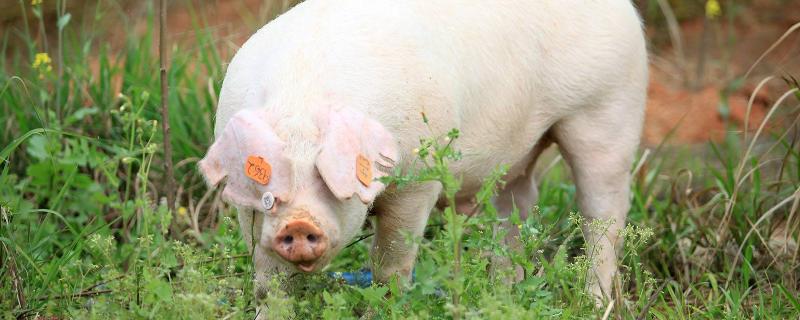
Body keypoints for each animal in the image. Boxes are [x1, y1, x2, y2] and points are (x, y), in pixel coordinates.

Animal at [197, 0, 648, 312]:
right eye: (267, 184)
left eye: (332, 178)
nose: (299, 224)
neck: (302, 99)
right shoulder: (248, 216)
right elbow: (269, 279)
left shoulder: (417, 181)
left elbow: (391, 264)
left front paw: (387, 306)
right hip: (515, 157)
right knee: (515, 211)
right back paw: (503, 296)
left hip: (609, 109)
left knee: (603, 215)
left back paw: (593, 303)